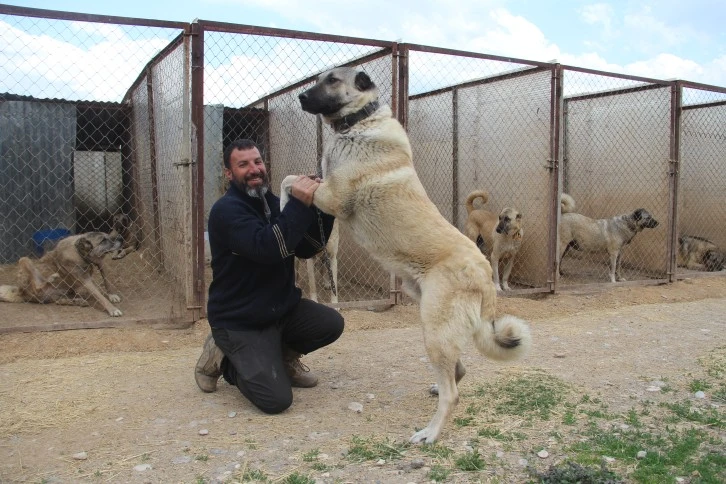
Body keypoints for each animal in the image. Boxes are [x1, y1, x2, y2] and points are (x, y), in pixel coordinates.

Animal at [282, 66, 532, 444]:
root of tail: (485, 275)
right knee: (458, 370)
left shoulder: (331, 196)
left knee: (453, 393)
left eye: (333, 81)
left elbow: (287, 179)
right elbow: (291, 177)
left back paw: (429, 433)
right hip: (432, 321)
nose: (300, 97)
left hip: (434, 329)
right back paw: (437, 390)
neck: (359, 123)